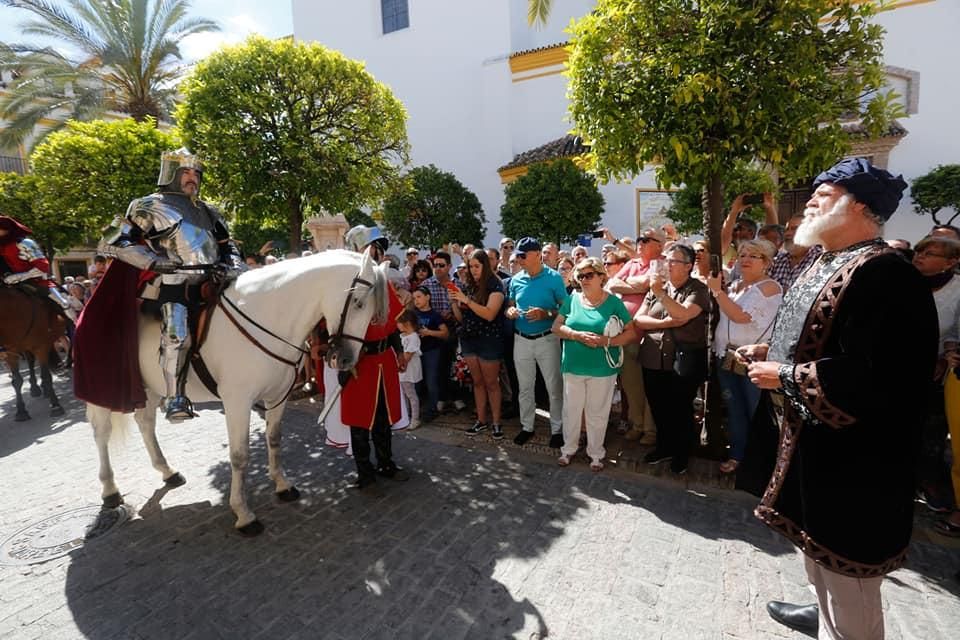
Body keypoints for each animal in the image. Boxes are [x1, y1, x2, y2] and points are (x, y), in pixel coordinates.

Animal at [0, 284, 67, 420]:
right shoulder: (10, 352)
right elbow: (16, 381)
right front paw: (21, 411)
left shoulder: (41, 347)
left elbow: (46, 376)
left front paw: (56, 406)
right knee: (31, 362)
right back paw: (35, 388)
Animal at [86, 249, 386, 536]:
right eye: (358, 303)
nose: (345, 359)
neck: (268, 315)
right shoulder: (237, 401)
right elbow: (240, 456)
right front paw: (243, 514)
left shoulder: (277, 396)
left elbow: (274, 439)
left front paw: (282, 485)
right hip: (106, 392)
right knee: (102, 434)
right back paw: (110, 491)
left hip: (149, 387)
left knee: (145, 423)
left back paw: (167, 471)